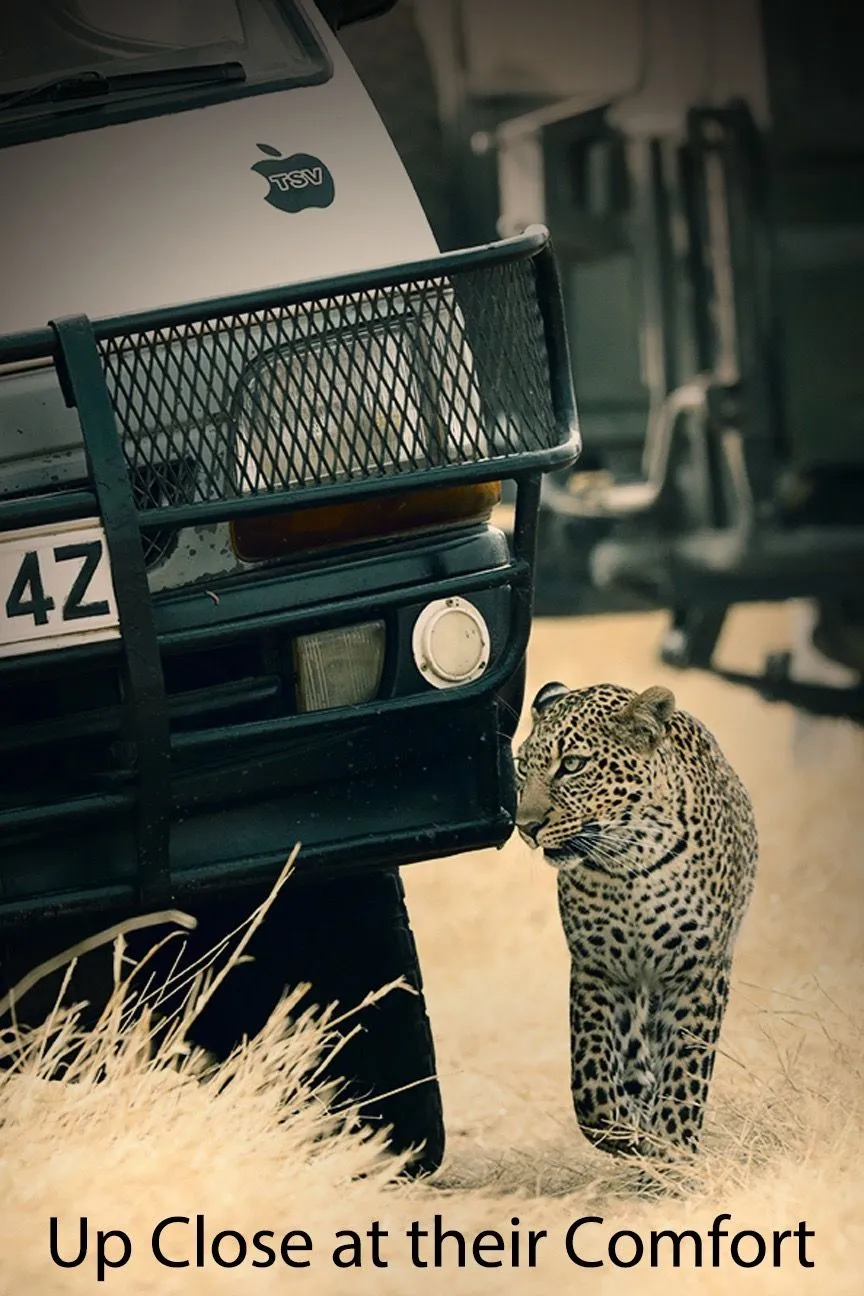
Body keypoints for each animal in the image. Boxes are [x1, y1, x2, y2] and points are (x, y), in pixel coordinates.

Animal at [515, 680, 757, 1161]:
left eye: (572, 765)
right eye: (520, 768)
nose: (525, 826)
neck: (626, 864)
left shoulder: (697, 970)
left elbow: (685, 1070)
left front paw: (673, 1152)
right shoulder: (598, 969)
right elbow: (590, 1080)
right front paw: (627, 1133)